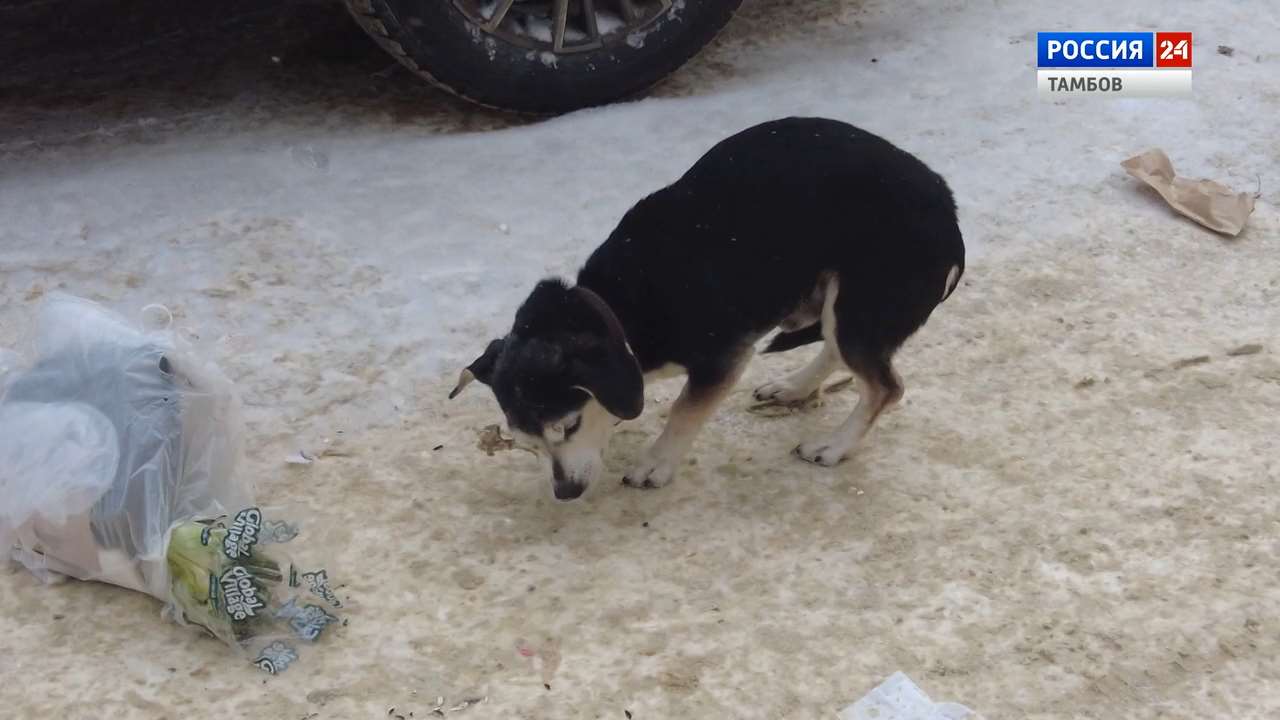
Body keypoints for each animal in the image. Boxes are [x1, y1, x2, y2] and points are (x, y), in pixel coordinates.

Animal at [450, 117, 962, 499]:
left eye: (569, 425)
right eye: (525, 442)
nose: (565, 493)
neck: (620, 309)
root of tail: (948, 209)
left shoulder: (722, 358)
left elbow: (683, 410)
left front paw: (656, 464)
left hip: (859, 303)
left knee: (884, 387)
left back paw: (833, 446)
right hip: (843, 307)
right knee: (840, 352)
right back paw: (795, 387)